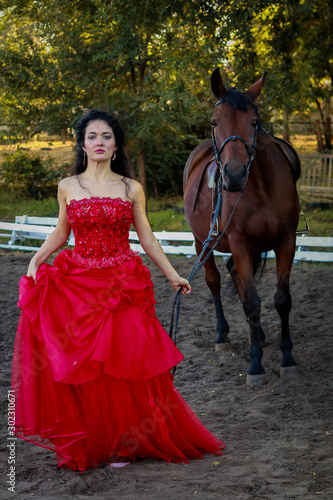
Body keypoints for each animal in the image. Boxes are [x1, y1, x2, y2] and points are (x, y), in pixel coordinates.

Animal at [183, 68, 300, 384]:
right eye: (215, 122)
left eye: (254, 122)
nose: (234, 176)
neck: (259, 186)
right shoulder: (238, 243)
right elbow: (251, 302)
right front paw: (256, 365)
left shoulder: (286, 241)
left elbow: (281, 299)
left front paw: (287, 359)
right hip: (202, 241)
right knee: (214, 281)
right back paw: (222, 336)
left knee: (235, 274)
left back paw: (256, 334)